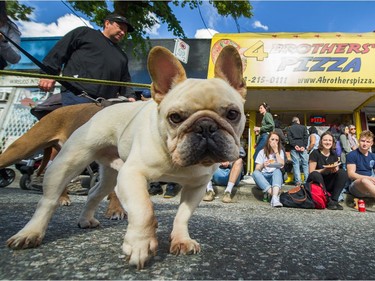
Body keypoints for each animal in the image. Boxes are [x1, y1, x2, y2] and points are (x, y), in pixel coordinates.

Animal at [7, 44, 248, 268]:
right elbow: (143, 209)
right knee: (47, 201)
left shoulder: (196, 187)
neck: (174, 157)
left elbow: (183, 215)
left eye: (233, 114)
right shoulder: (132, 175)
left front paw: (181, 240)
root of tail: (102, 107)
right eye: (175, 117)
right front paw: (140, 245)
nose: (206, 126)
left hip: (111, 175)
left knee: (94, 193)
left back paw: (86, 220)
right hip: (65, 161)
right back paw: (30, 233)